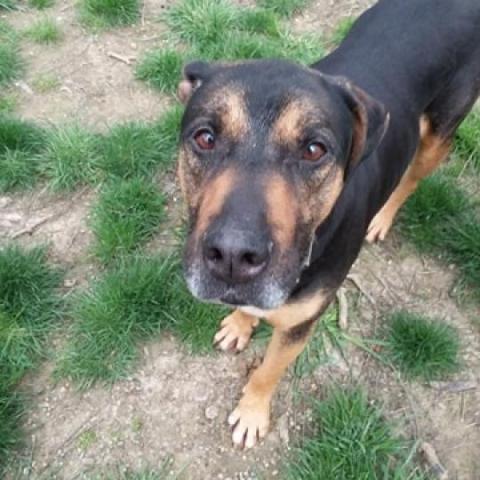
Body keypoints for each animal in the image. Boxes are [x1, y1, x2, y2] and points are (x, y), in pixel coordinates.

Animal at [175, 0, 480, 450]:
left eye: (314, 150)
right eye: (205, 138)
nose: (232, 256)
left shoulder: (300, 323)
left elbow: (268, 371)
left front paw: (252, 412)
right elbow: (247, 309)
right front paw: (240, 323)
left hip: (440, 133)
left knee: (412, 177)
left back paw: (383, 217)